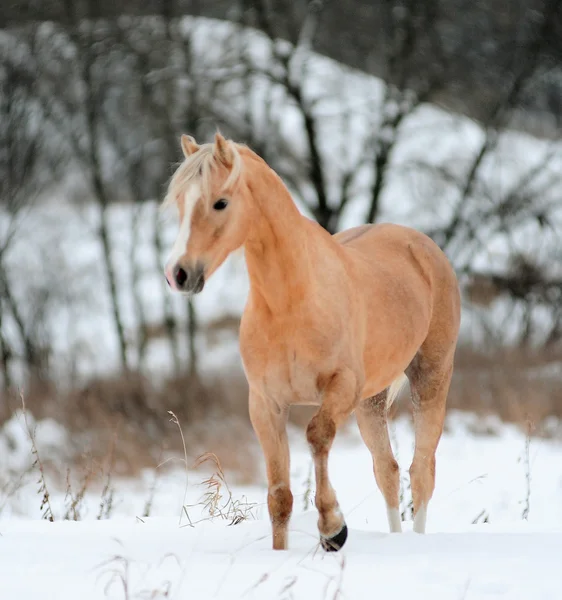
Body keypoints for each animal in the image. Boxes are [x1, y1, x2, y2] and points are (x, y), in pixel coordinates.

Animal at [163, 134, 460, 552]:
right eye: (179, 203)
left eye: (220, 202)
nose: (178, 273)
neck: (291, 303)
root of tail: (421, 245)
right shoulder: (265, 404)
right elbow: (280, 497)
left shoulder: (341, 389)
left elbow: (317, 435)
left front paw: (333, 528)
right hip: (371, 402)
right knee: (386, 470)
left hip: (430, 380)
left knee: (421, 471)